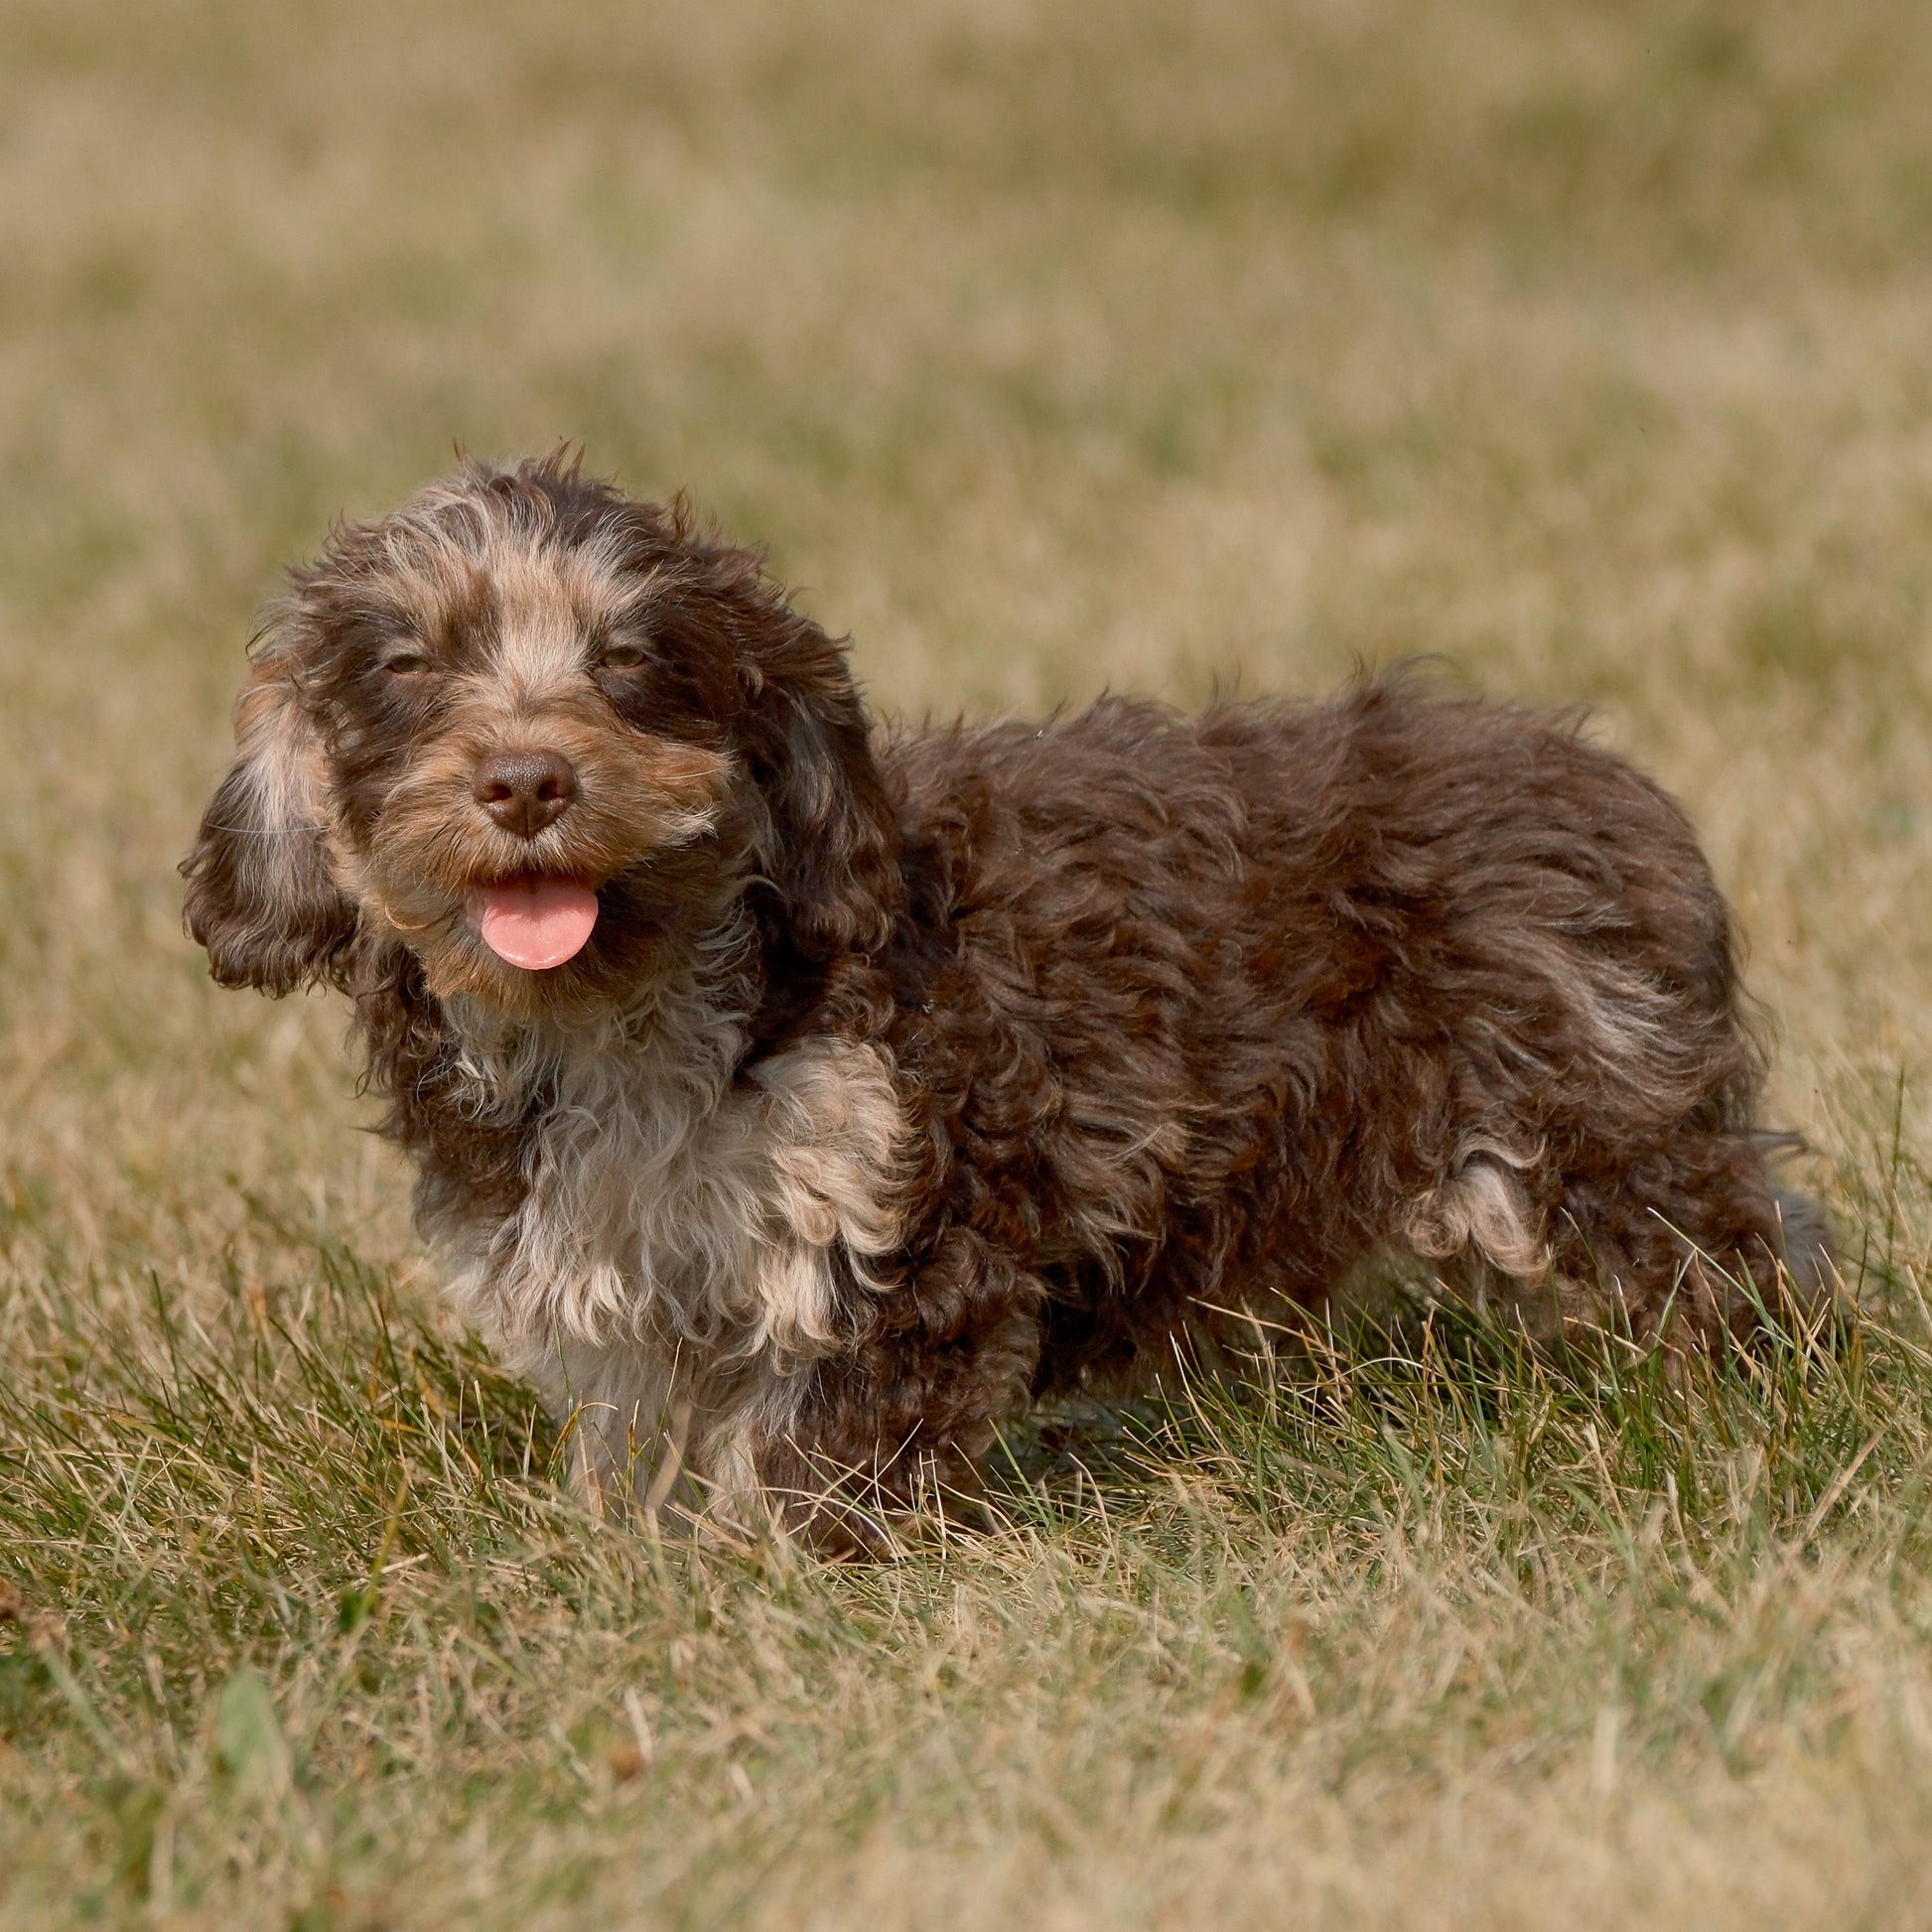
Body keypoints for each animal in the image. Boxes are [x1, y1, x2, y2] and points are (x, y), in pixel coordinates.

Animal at [188, 452, 1831, 1553]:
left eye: (633, 659)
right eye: (410, 664)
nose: (527, 780)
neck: (626, 1014)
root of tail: (1608, 783)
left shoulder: (895, 1228)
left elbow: (822, 1460)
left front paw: (779, 1584)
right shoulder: (629, 1293)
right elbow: (656, 1442)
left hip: (1588, 1123)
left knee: (1731, 1256)